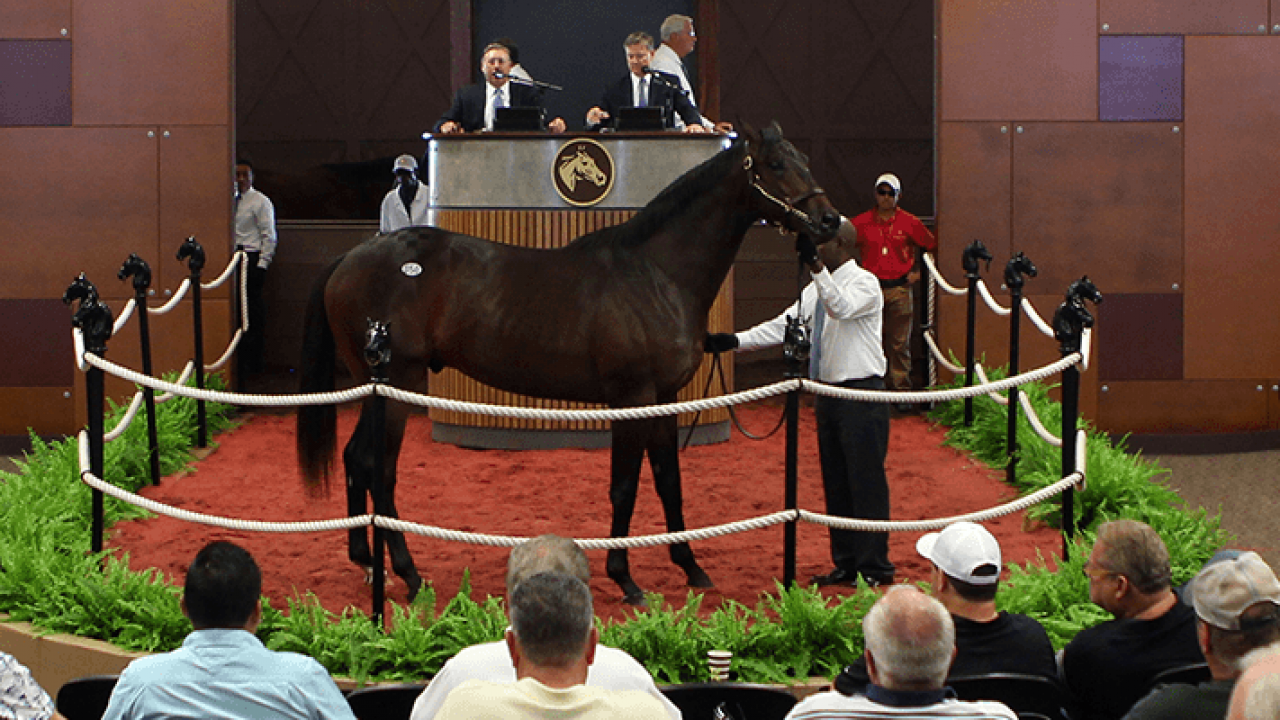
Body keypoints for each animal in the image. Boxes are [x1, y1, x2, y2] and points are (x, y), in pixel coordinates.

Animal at [295, 121, 844, 599]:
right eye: (776, 164)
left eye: (804, 158)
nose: (829, 221)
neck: (656, 273)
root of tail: (351, 258)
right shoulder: (632, 398)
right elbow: (625, 485)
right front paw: (625, 579)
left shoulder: (664, 399)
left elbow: (669, 483)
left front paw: (690, 567)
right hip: (396, 384)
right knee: (378, 467)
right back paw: (408, 574)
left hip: (378, 387)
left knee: (355, 459)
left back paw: (368, 562)